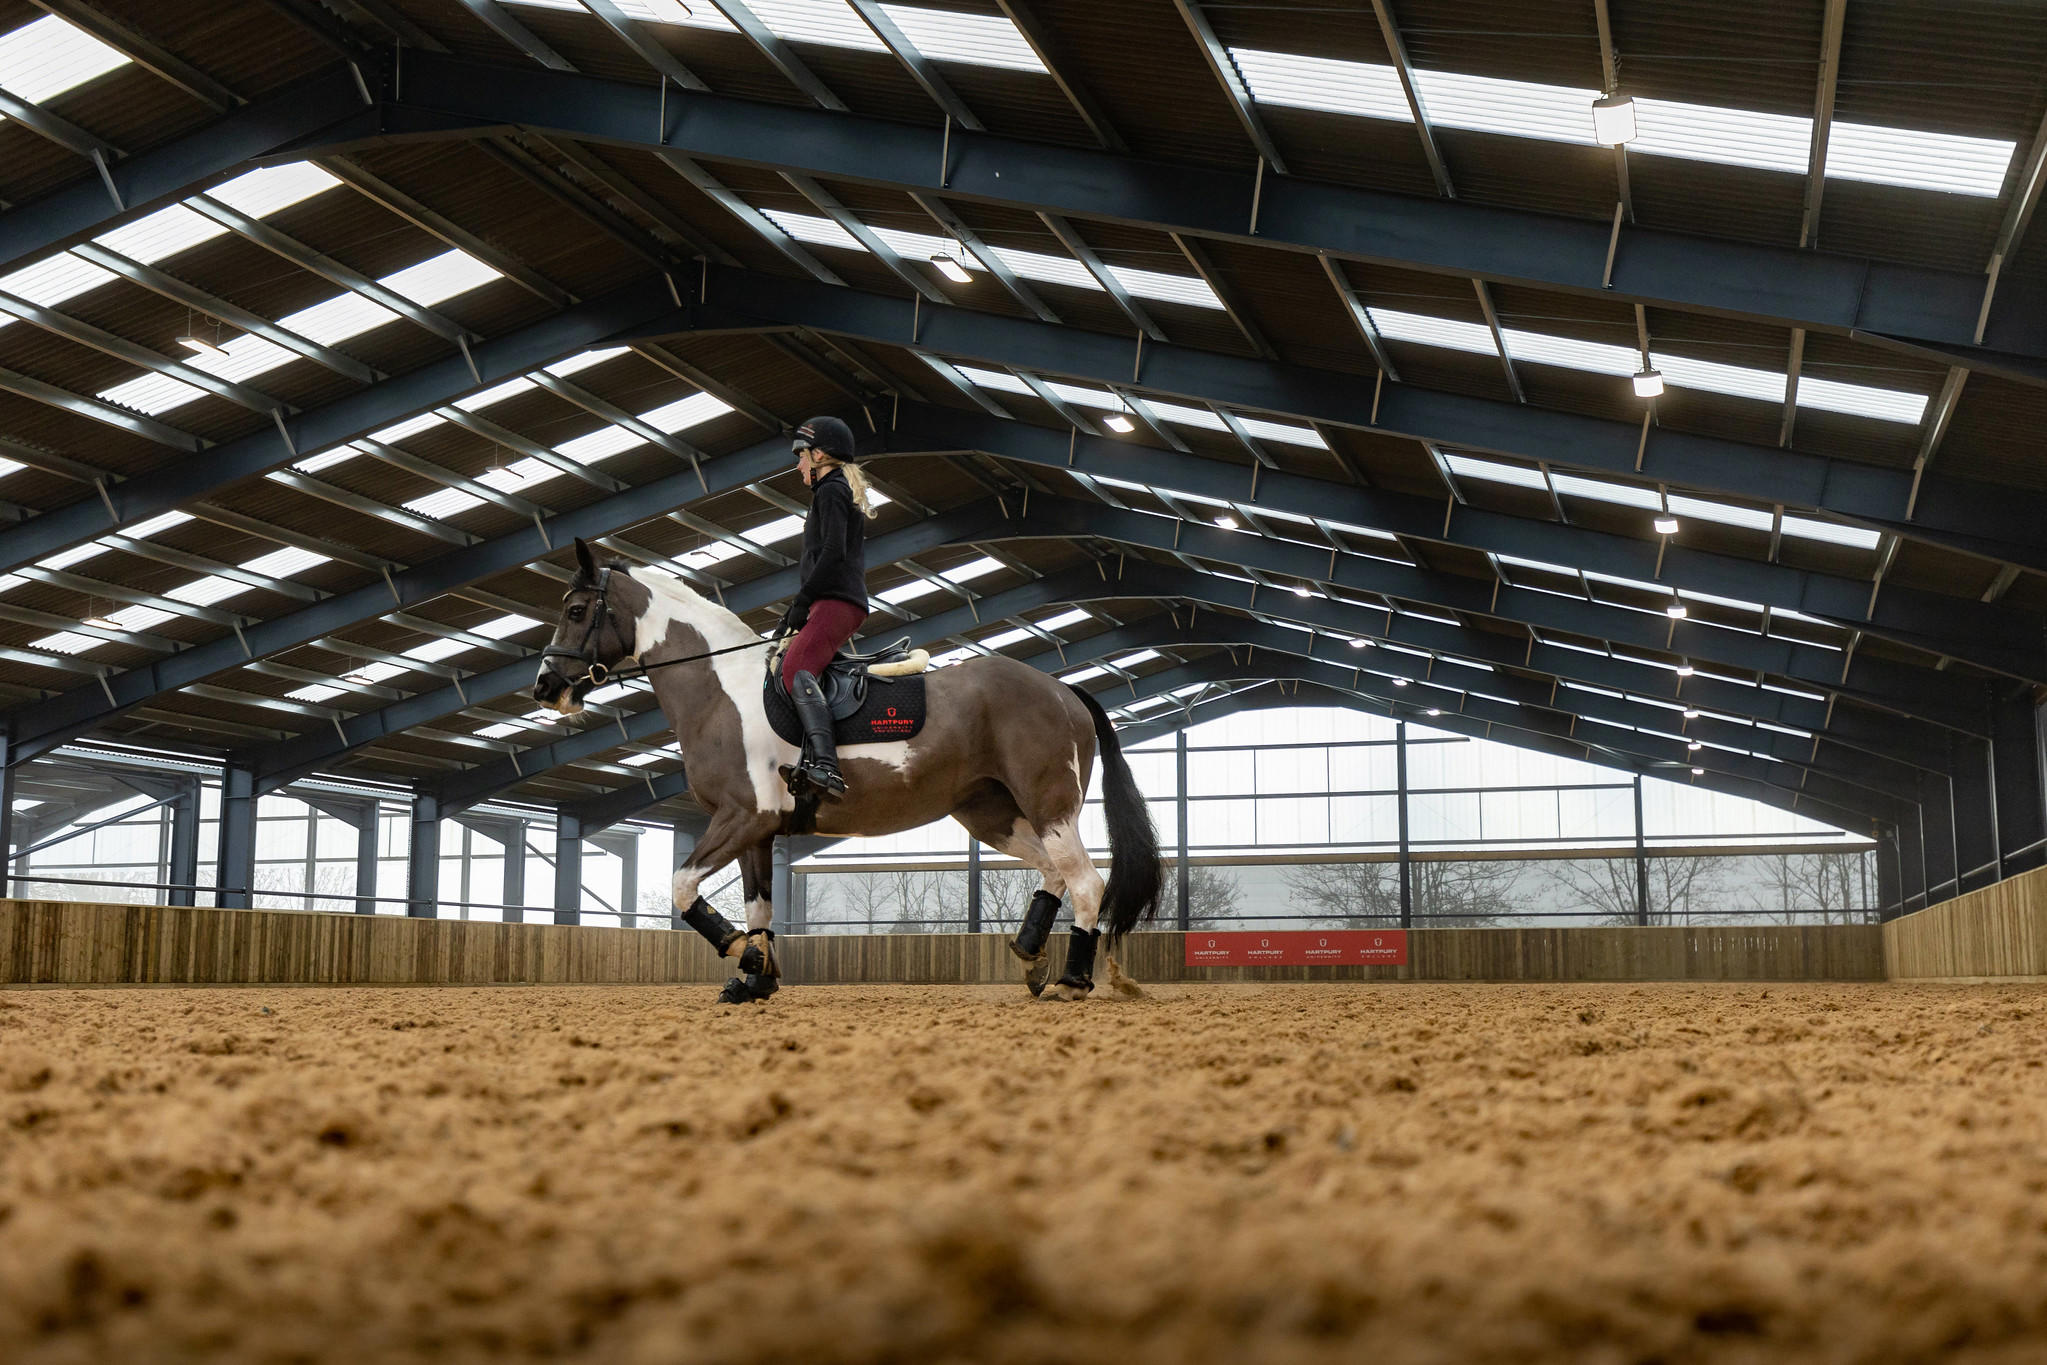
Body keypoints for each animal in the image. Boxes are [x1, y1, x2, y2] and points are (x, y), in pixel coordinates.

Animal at [532, 536, 1170, 1002]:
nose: (545, 686)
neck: (721, 689)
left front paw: (745, 956)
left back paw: (1071, 981)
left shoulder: (742, 817)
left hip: (1048, 804)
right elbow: (759, 907)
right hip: (989, 812)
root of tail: (1062, 689)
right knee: (1052, 873)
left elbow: (682, 886)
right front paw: (755, 978)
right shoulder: (756, 832)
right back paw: (1031, 958)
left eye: (577, 610)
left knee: (1085, 882)